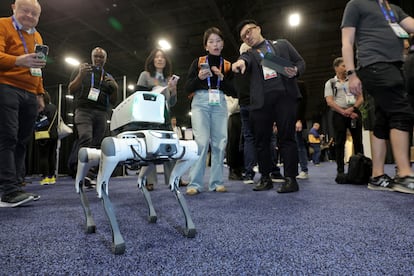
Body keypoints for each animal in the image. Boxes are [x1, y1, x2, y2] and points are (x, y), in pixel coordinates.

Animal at [74, 91, 199, 254]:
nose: (168, 146)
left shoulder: (170, 152)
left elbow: (187, 160)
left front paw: (174, 183)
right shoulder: (116, 148)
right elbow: (107, 152)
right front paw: (117, 241)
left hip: (148, 160)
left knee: (144, 175)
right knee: (84, 153)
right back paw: (87, 212)